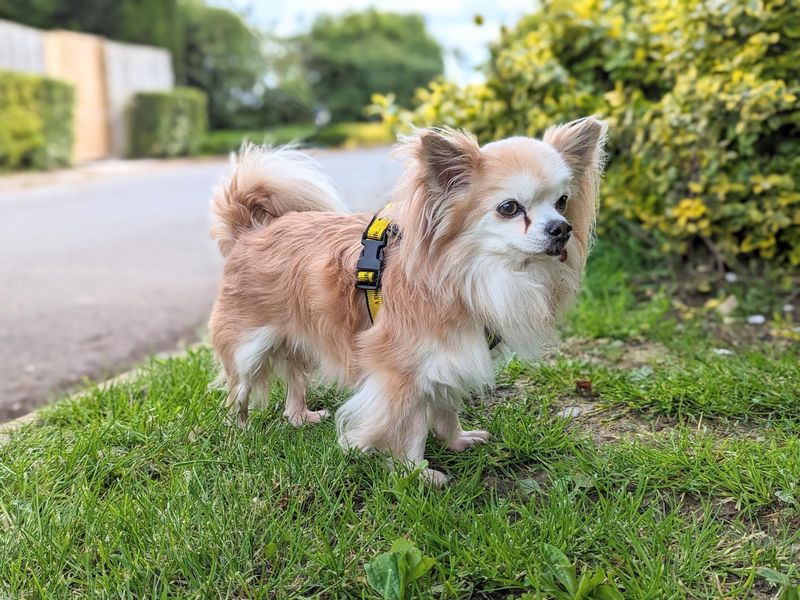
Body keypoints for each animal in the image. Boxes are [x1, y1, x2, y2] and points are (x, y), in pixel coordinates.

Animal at [206, 117, 608, 482]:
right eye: (509, 208)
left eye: (563, 202)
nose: (562, 229)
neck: (471, 274)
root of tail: (249, 232)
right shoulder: (401, 376)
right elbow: (410, 430)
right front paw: (417, 473)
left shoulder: (449, 360)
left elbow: (446, 409)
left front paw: (457, 441)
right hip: (246, 351)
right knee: (236, 394)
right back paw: (238, 433)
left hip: (301, 342)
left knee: (294, 383)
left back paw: (300, 417)